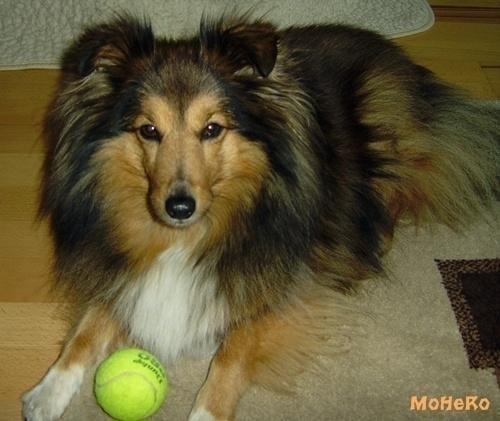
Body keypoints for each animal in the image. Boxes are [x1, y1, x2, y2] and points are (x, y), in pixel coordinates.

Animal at [21, 13, 498, 420]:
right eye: (148, 130)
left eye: (212, 129)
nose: (179, 207)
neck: (185, 238)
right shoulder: (119, 269)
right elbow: (87, 328)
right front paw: (47, 391)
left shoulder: (275, 286)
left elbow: (232, 352)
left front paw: (205, 413)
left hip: (391, 136)